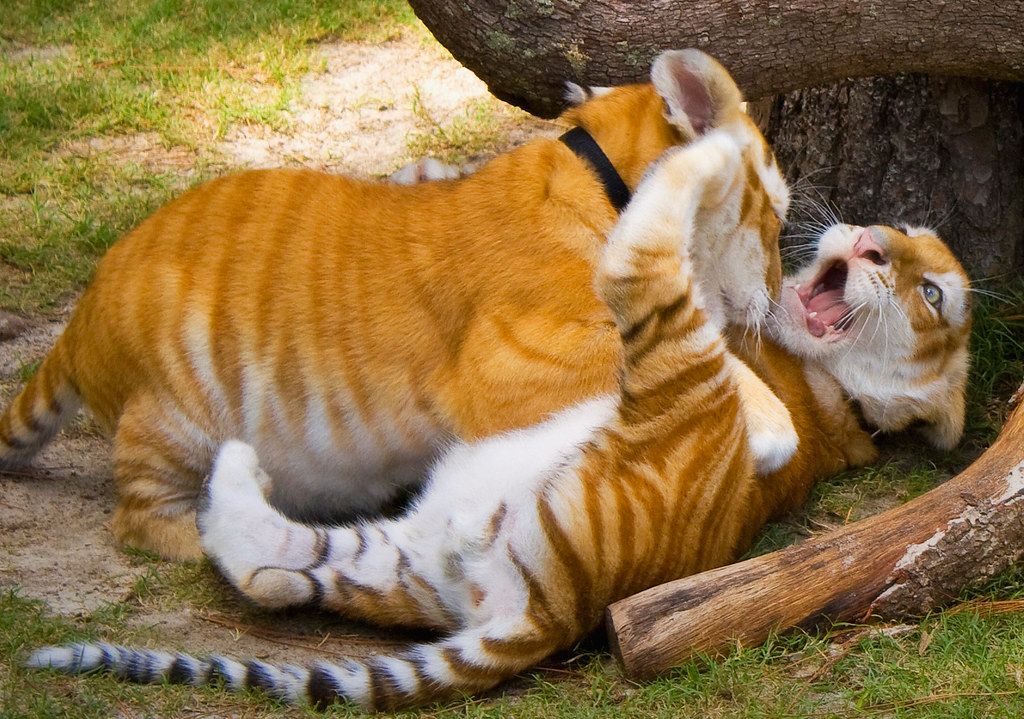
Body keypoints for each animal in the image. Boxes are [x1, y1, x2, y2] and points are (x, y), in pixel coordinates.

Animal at [0, 49, 791, 560]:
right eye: (777, 215)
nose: (780, 300)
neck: (603, 179)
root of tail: (80, 316)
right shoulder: (514, 362)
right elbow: (703, 362)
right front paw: (774, 426)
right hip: (171, 416)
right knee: (138, 520)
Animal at [28, 119, 802, 710]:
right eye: (769, 222)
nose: (774, 294)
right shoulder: (513, 368)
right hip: (173, 412)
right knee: (143, 521)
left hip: (403, 547)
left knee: (274, 563)